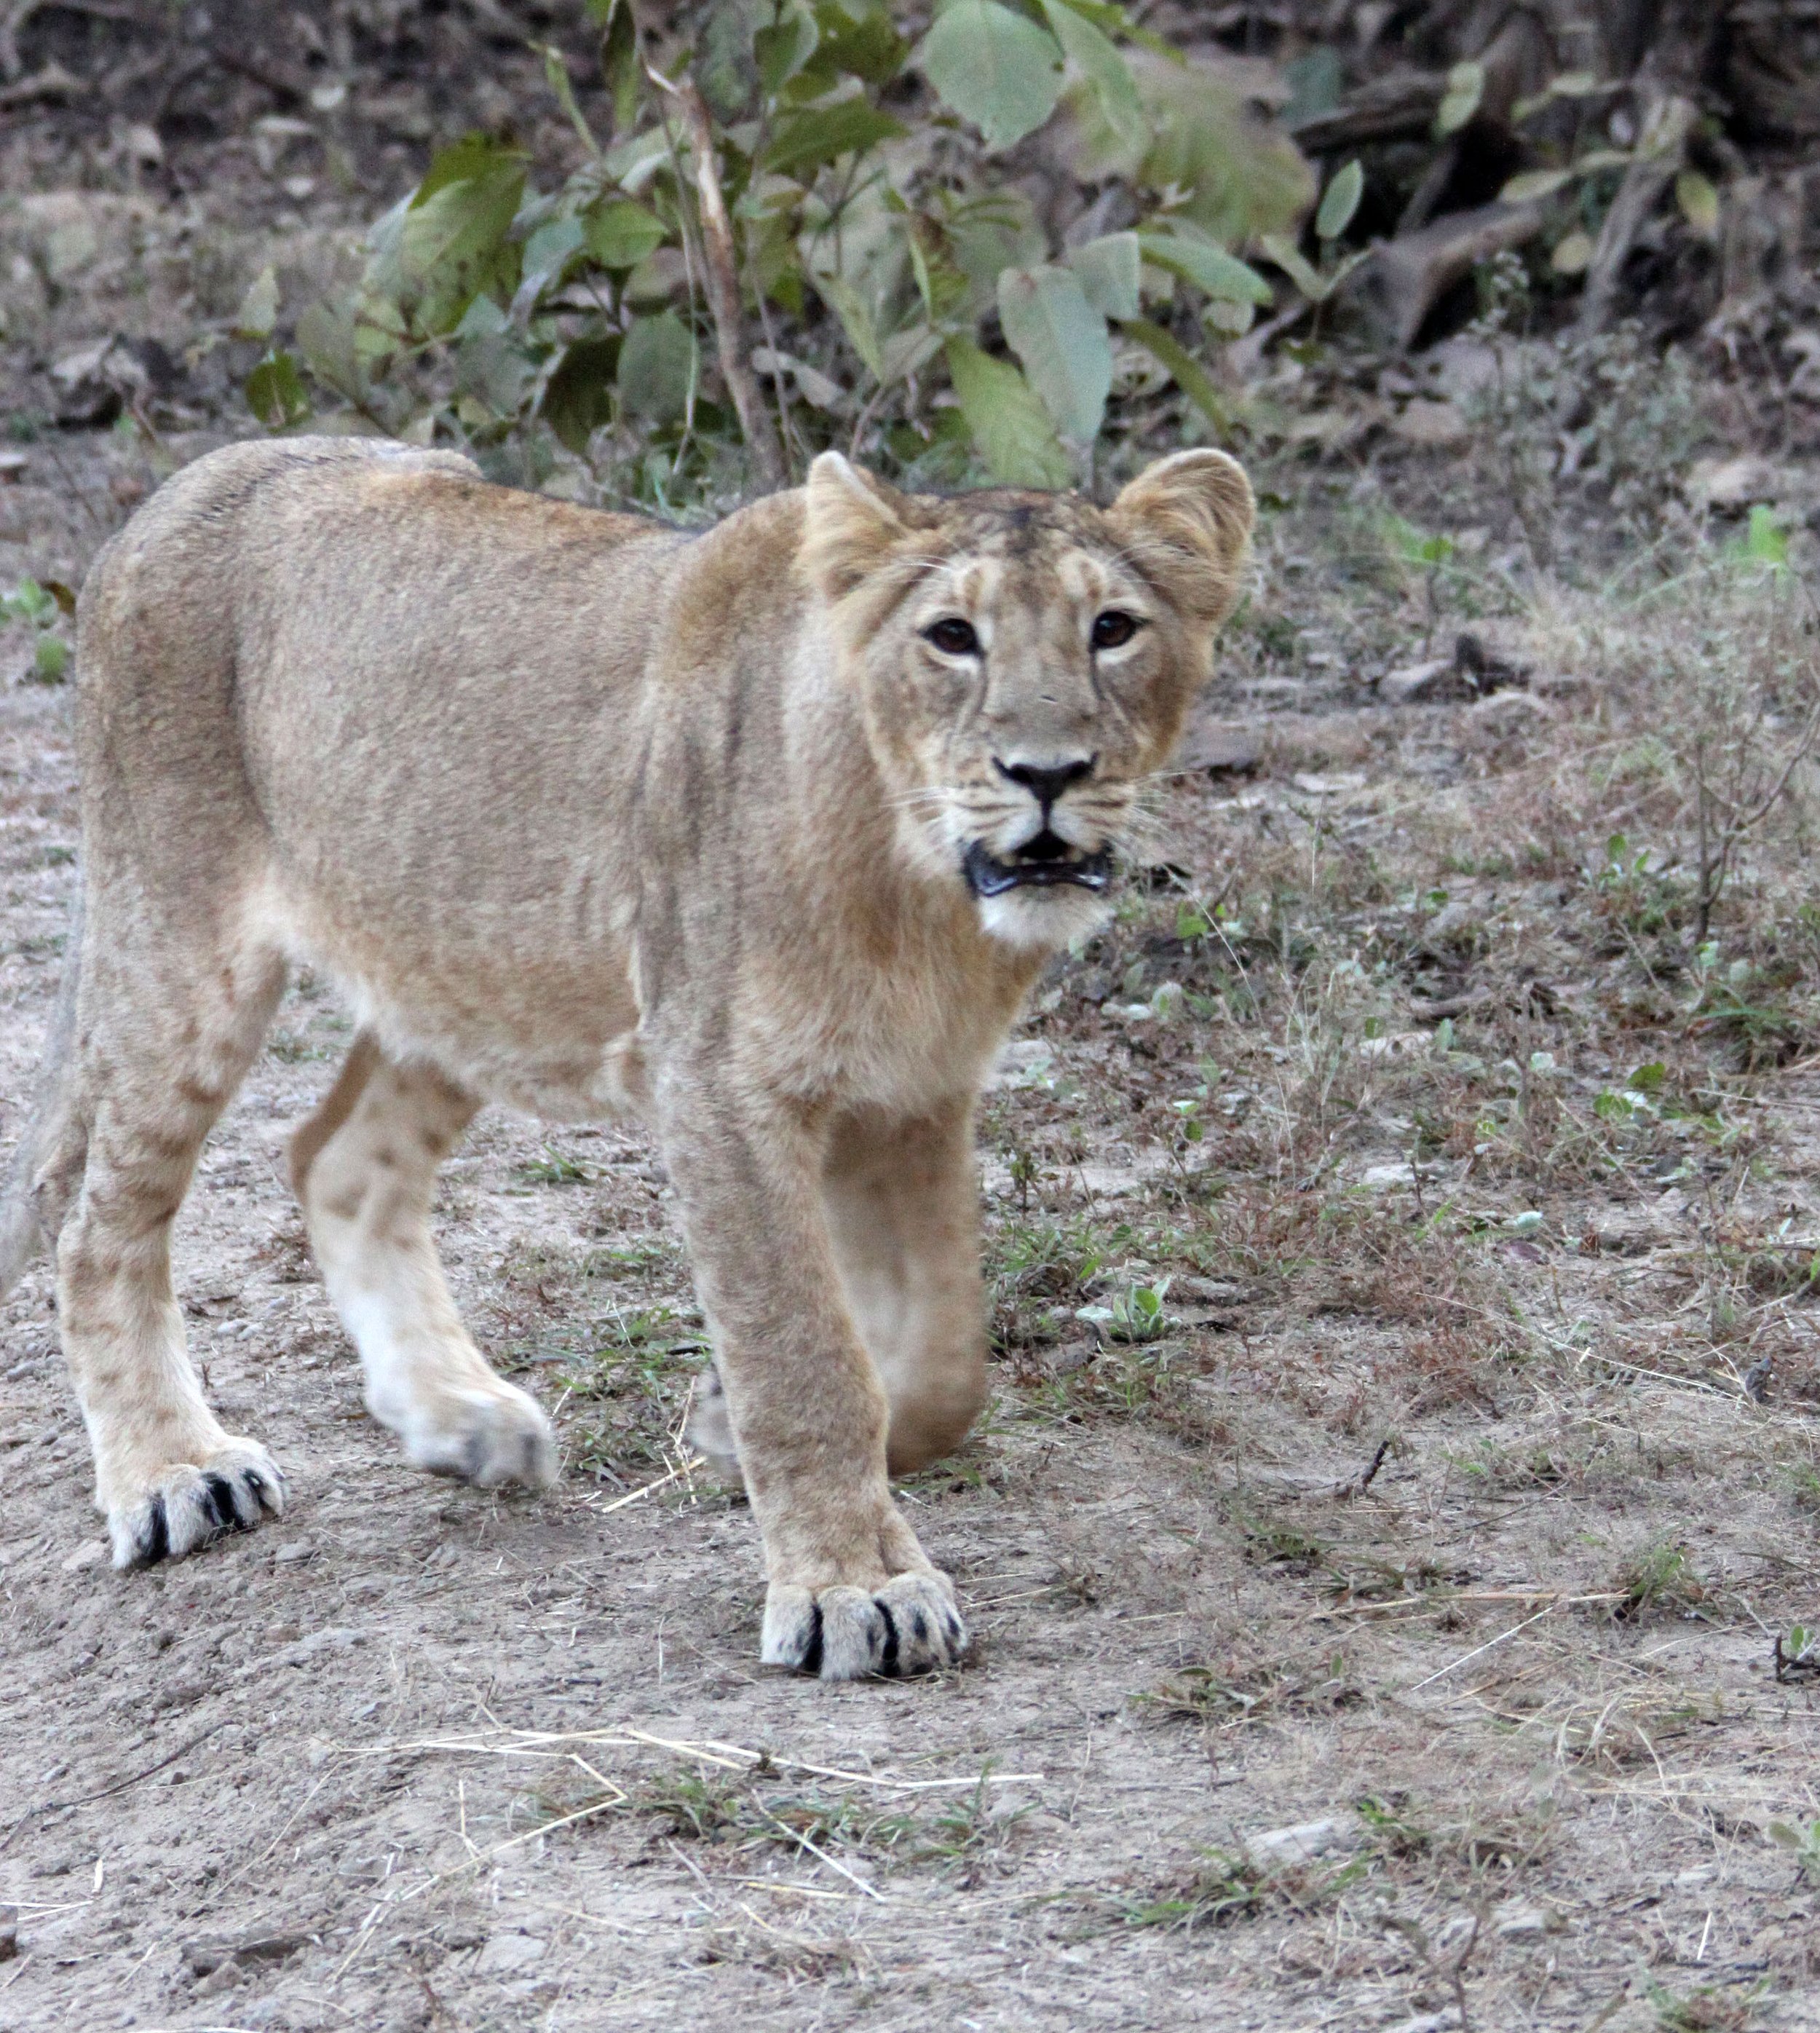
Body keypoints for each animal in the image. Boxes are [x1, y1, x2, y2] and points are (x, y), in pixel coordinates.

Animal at [0, 435, 1252, 1679]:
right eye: (953, 636)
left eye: (1113, 628)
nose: (1048, 774)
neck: (918, 885)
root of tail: (188, 483)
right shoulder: (719, 1087)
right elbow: (803, 1353)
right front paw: (854, 1588)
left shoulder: (918, 1095)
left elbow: (946, 1362)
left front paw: (734, 1433)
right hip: (182, 945)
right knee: (97, 1229)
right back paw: (176, 1475)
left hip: (471, 965)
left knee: (336, 1157)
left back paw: (459, 1421)